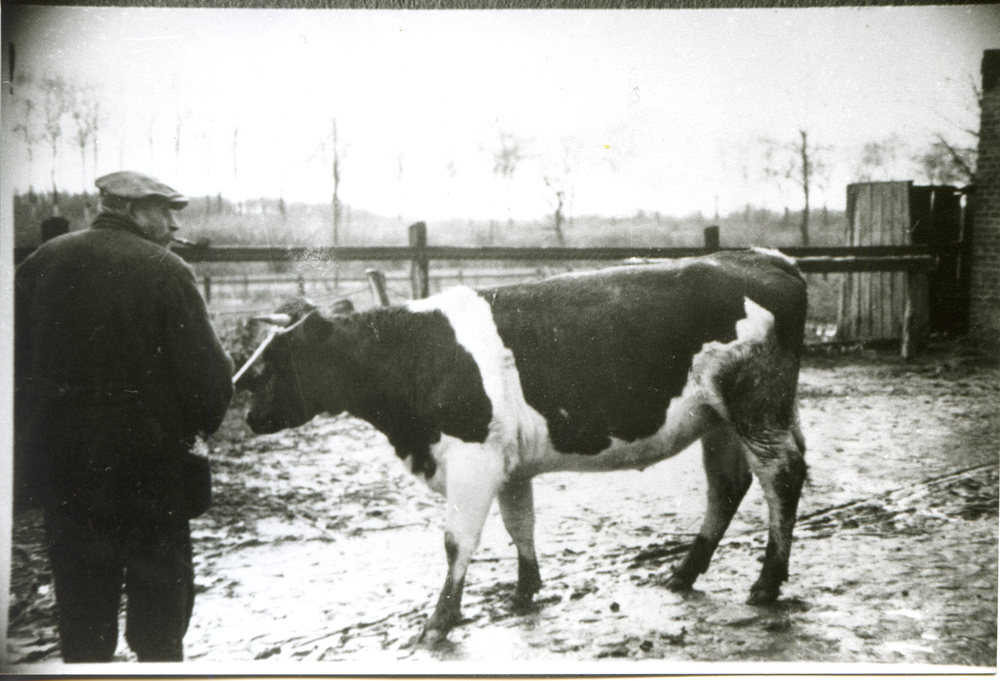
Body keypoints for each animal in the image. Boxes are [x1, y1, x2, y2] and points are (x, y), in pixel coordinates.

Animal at [244, 248, 812, 644]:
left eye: (278, 359)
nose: (242, 403)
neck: (418, 353)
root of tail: (763, 257)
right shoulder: (508, 465)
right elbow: (520, 525)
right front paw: (524, 592)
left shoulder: (472, 459)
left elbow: (457, 542)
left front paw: (438, 622)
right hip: (721, 419)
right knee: (728, 485)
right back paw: (682, 573)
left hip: (756, 409)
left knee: (781, 478)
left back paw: (766, 583)